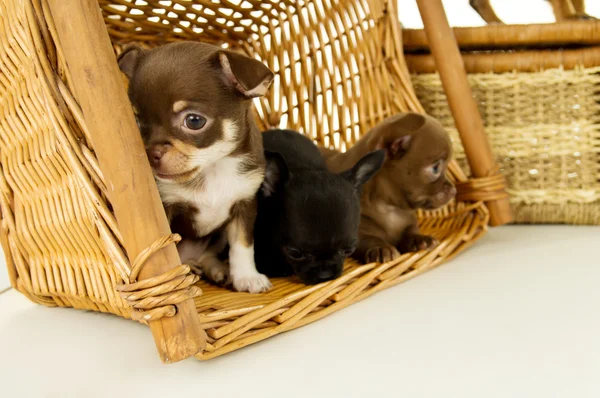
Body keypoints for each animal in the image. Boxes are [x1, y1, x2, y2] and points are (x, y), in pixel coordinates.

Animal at [116, 42, 274, 294]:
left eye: (194, 121)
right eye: (137, 122)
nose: (151, 153)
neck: (212, 169)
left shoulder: (245, 203)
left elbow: (242, 244)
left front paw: (247, 277)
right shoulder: (166, 208)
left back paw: (217, 269)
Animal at [324, 112, 454, 264]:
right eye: (435, 168)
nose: (454, 191)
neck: (390, 209)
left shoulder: (409, 221)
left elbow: (410, 230)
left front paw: (419, 239)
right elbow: (370, 239)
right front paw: (380, 248)